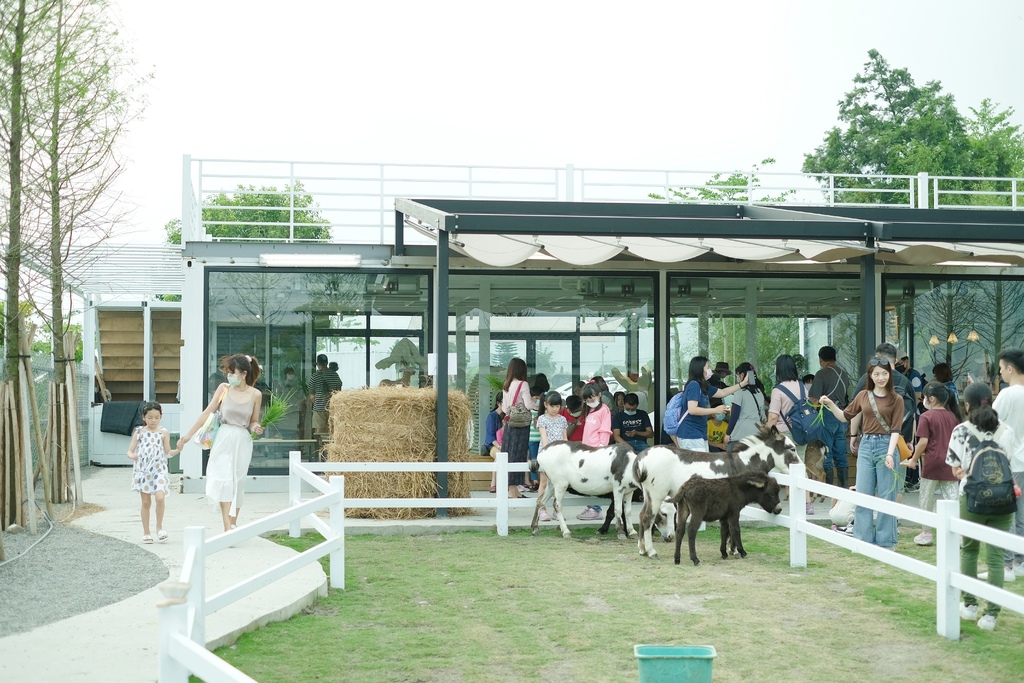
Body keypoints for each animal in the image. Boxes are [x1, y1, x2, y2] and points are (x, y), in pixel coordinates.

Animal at [630, 428, 798, 561]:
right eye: (792, 449)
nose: (801, 467)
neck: (743, 464)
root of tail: (641, 457)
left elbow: (727, 528)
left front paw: (730, 550)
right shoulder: (734, 506)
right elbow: (733, 527)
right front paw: (735, 550)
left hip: (648, 494)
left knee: (641, 515)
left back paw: (642, 549)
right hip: (657, 494)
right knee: (648, 518)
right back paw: (652, 552)